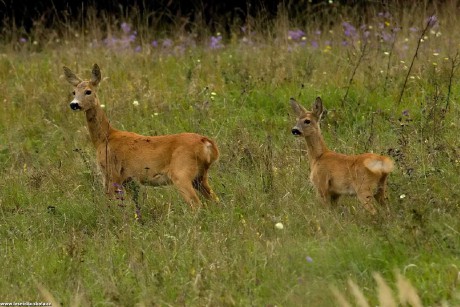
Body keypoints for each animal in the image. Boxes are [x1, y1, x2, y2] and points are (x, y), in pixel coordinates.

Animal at [63, 64, 220, 211]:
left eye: (88, 91)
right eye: (74, 92)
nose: (74, 104)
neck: (105, 138)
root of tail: (207, 144)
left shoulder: (111, 172)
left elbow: (111, 204)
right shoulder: (128, 180)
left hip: (182, 173)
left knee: (196, 204)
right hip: (200, 177)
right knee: (215, 199)